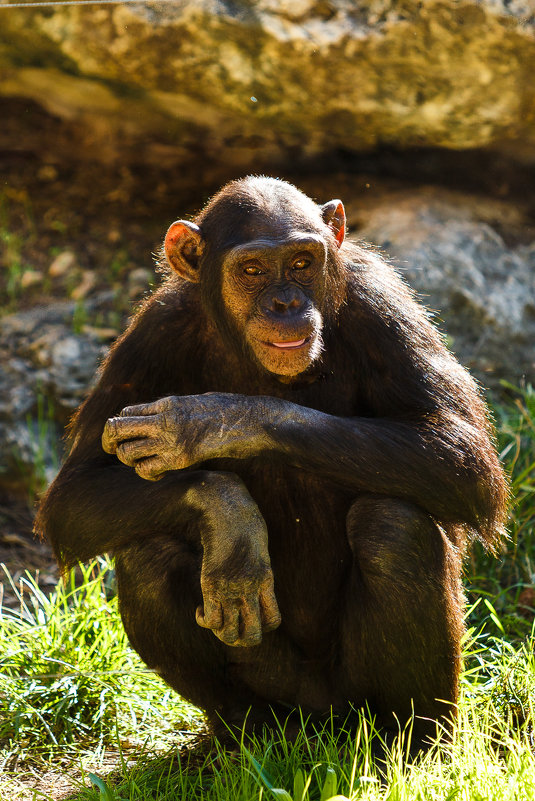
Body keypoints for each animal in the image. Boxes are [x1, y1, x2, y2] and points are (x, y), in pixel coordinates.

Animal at [35, 178, 508, 740]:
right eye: (253, 270)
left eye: (302, 262)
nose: (286, 302)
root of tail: (320, 722)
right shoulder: (149, 335)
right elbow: (76, 494)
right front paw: (230, 519)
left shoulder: (383, 305)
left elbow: (461, 453)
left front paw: (209, 422)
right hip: (279, 683)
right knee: (148, 556)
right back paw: (244, 734)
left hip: (352, 694)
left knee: (393, 528)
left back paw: (412, 741)